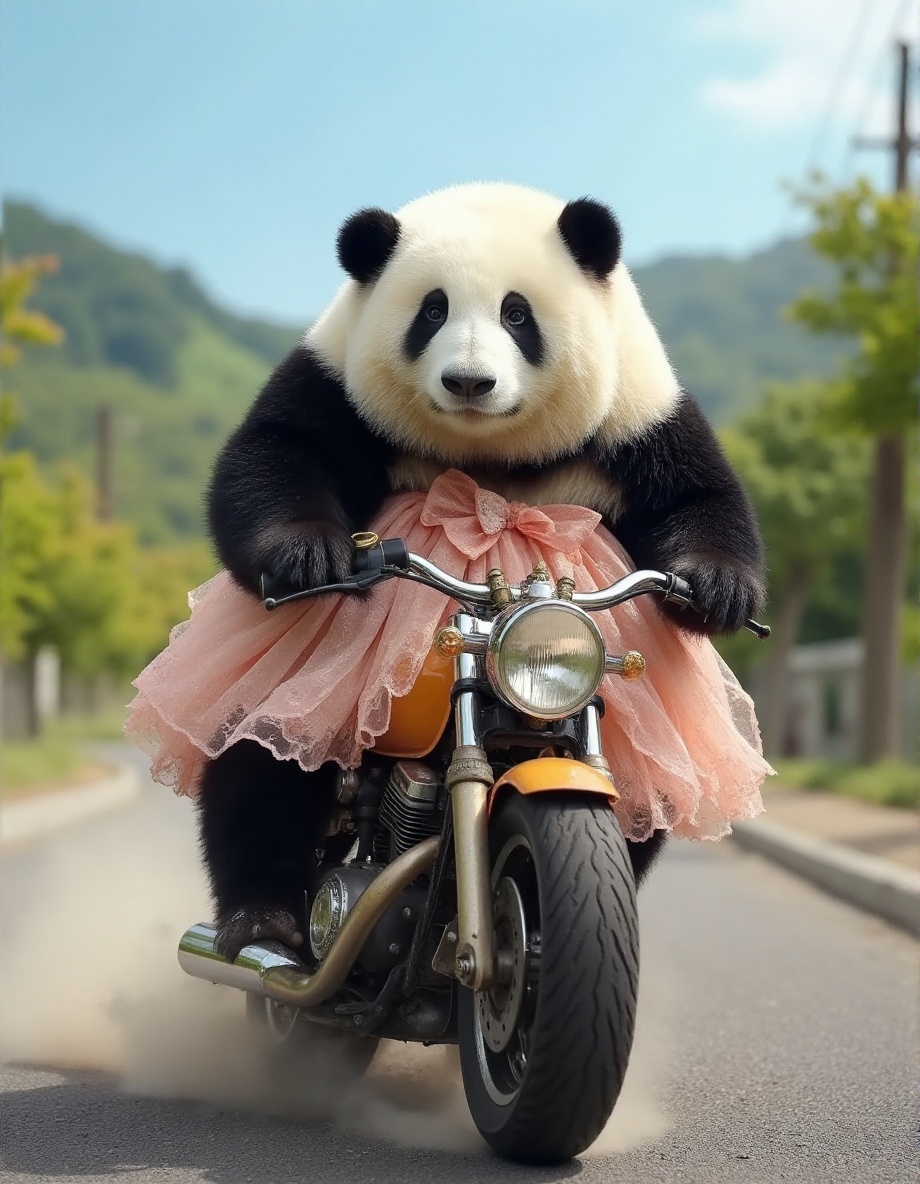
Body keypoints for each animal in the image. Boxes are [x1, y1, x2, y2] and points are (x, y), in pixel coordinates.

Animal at [201, 183, 764, 960]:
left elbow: (699, 496)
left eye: (516, 313)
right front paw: (308, 554)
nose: (469, 381)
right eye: (432, 310)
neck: (491, 457)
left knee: (652, 796)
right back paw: (264, 920)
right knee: (259, 763)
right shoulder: (337, 380)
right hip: (301, 693)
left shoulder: (638, 412)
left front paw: (716, 587)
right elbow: (276, 451)